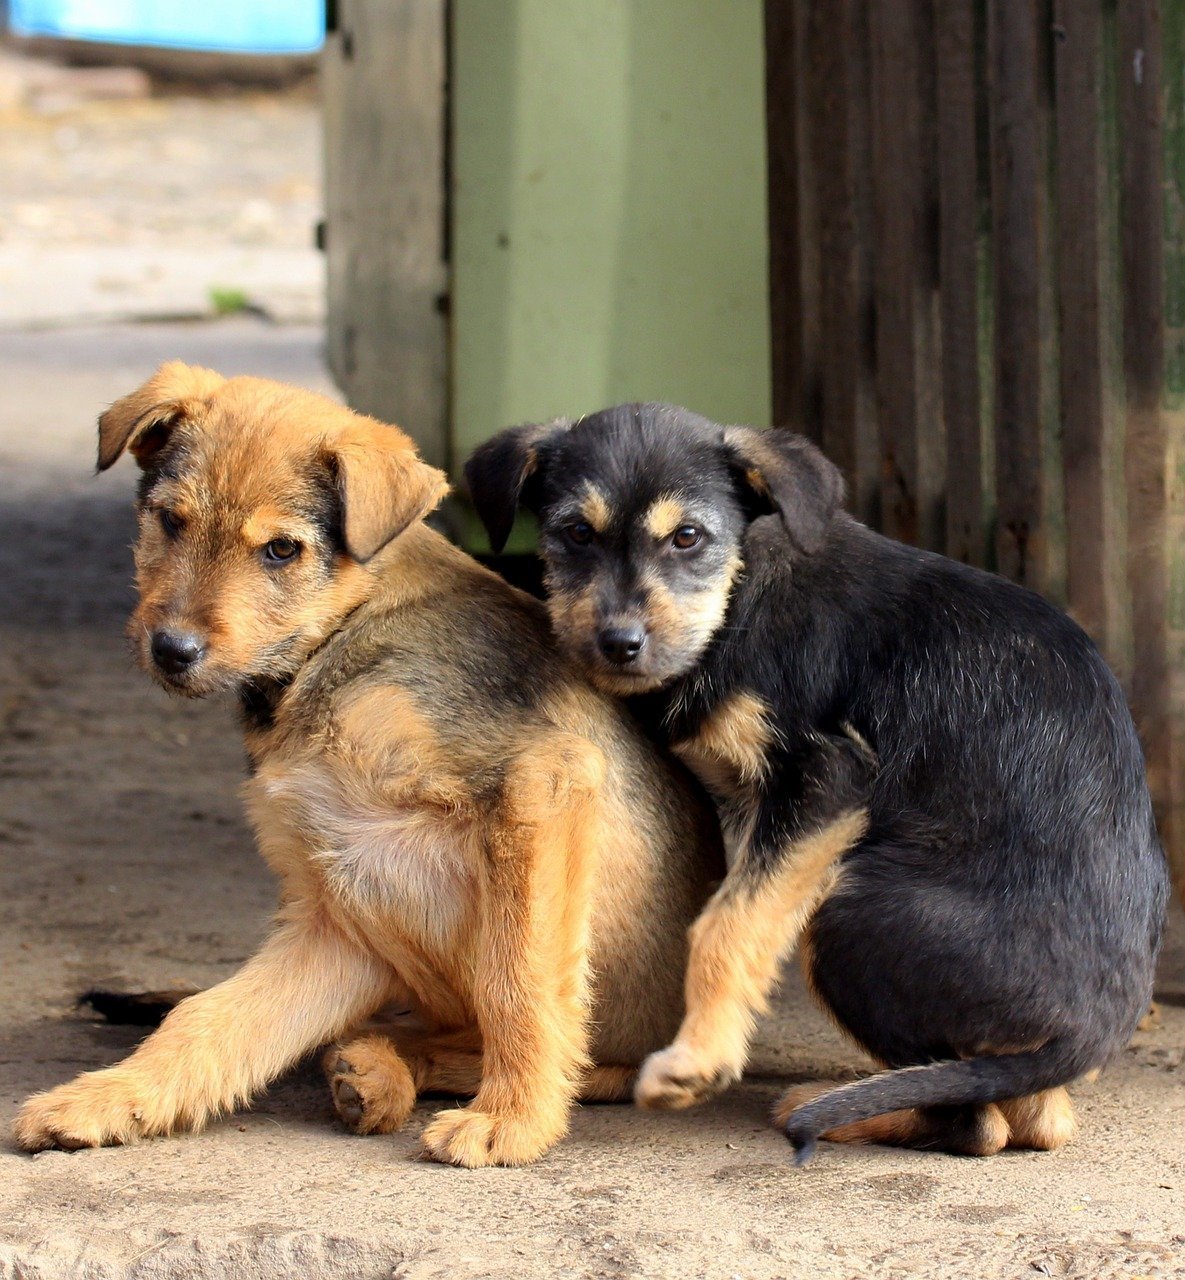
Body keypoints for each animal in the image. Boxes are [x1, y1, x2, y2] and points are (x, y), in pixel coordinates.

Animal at [13, 366, 721, 1167]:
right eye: (170, 520)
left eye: (281, 551)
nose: (171, 650)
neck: (337, 638)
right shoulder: (337, 916)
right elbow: (208, 1019)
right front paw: (106, 1099)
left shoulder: (545, 780)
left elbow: (520, 981)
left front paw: (513, 1120)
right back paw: (371, 1071)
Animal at [468, 404, 1172, 1167]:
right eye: (575, 533)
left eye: (687, 537)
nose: (619, 644)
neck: (737, 597)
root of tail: (1094, 1029)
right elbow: (740, 910)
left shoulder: (824, 779)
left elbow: (727, 922)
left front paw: (695, 1060)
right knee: (1034, 1115)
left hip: (847, 917)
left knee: (977, 1123)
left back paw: (832, 1110)